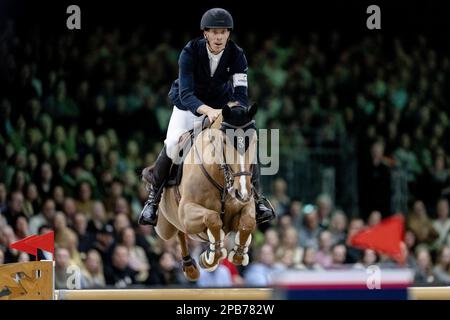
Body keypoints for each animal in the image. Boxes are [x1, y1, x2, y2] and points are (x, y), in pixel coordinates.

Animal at [144, 102, 256, 280]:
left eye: (255, 140)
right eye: (224, 141)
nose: (241, 192)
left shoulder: (246, 205)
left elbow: (248, 221)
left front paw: (238, 254)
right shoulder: (187, 212)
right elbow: (213, 218)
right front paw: (211, 257)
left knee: (180, 232)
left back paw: (190, 267)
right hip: (164, 227)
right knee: (177, 231)